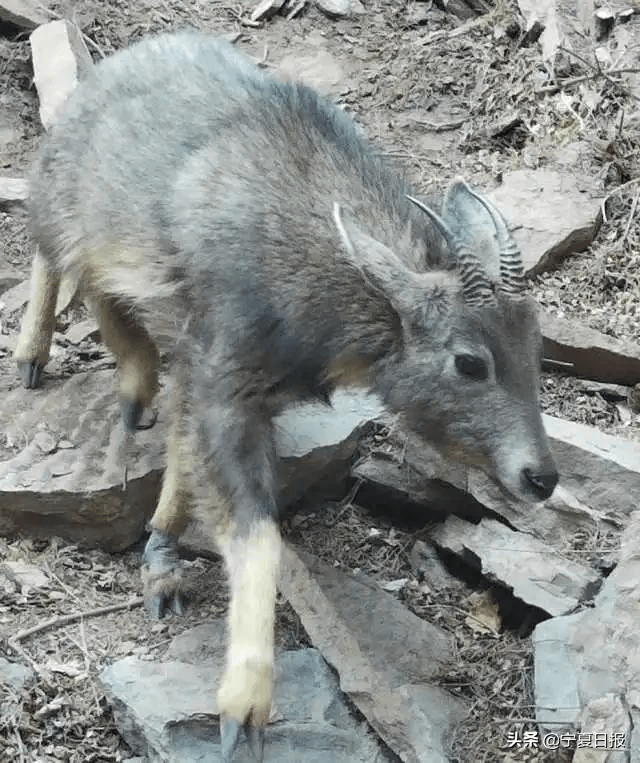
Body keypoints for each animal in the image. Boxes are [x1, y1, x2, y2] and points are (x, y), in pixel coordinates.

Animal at [13, 31, 556, 763]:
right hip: (62, 201)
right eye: (469, 362)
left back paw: (134, 387)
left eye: (535, 346)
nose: (541, 476)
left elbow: (187, 454)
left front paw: (160, 555)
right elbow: (255, 529)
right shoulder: (225, 377)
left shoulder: (220, 376)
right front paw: (242, 707)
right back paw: (33, 353)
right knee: (49, 253)